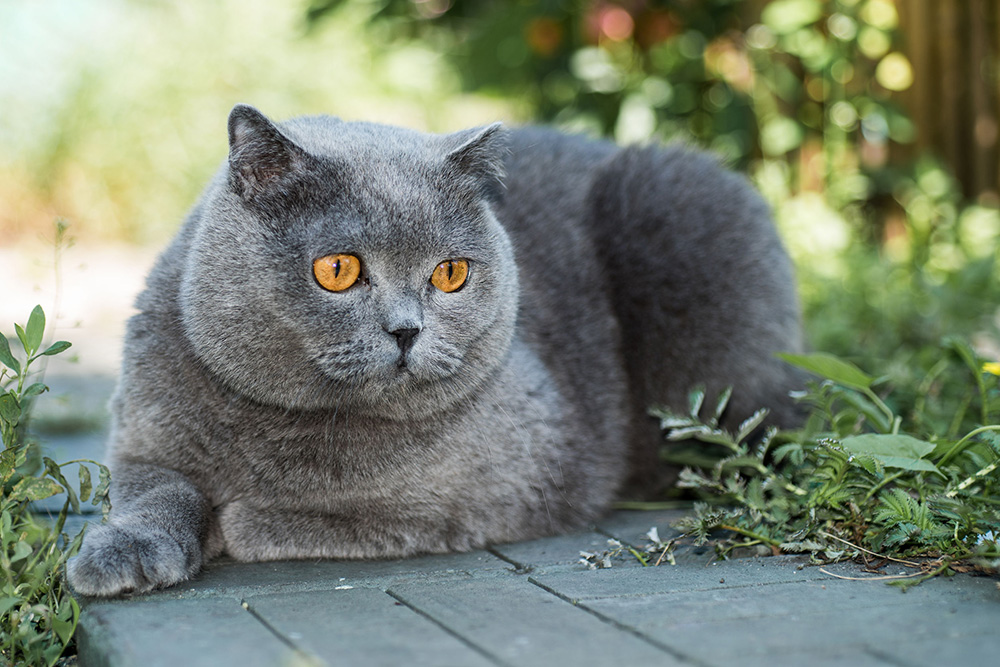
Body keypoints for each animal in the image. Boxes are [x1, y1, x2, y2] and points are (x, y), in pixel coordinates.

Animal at [66, 104, 804, 600]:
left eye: (450, 273)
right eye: (337, 269)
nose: (406, 330)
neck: (288, 425)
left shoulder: (523, 474)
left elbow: (367, 512)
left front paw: (241, 518)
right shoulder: (141, 443)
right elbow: (156, 491)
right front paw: (119, 554)